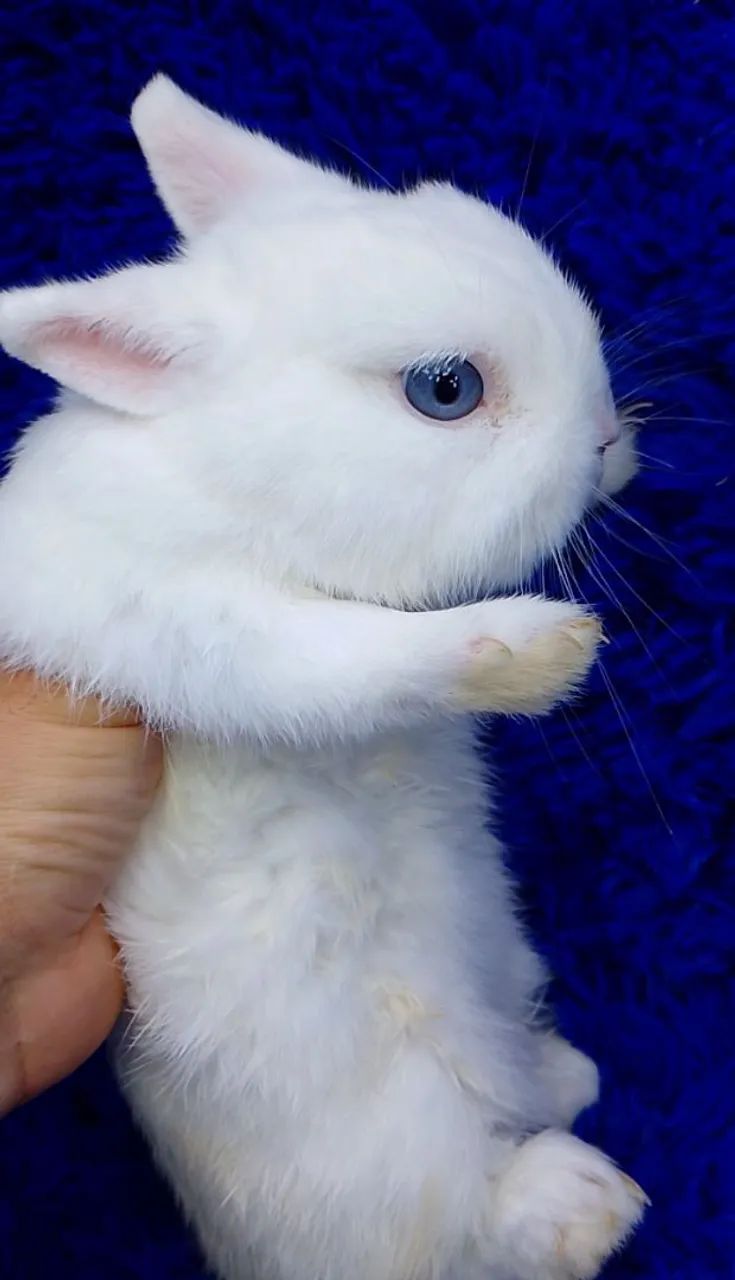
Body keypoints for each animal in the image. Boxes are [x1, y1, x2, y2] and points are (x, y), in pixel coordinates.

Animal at [0, 76, 646, 1280]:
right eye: (445, 389)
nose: (602, 440)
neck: (222, 476)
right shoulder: (201, 631)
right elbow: (339, 663)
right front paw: (543, 648)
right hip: (387, 1133)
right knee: (470, 1216)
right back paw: (587, 1203)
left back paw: (564, 1073)